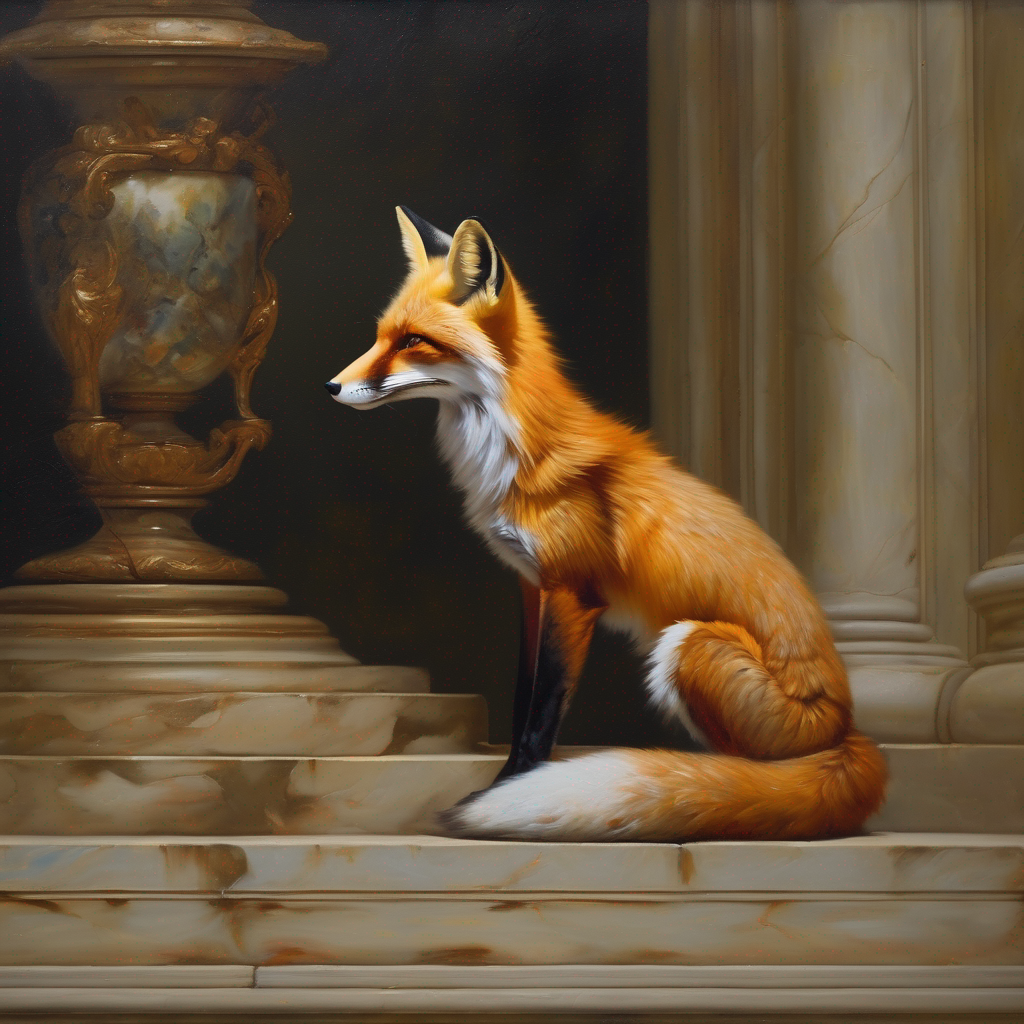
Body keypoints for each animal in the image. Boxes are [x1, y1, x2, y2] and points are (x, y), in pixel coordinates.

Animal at [324, 206, 888, 842]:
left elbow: (543, 711)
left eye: (413, 342)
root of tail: (846, 728)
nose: (332, 386)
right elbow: (521, 698)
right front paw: (508, 779)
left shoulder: (572, 594)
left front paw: (511, 786)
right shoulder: (532, 588)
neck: (514, 453)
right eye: (380, 336)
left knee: (765, 774)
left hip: (690, 644)